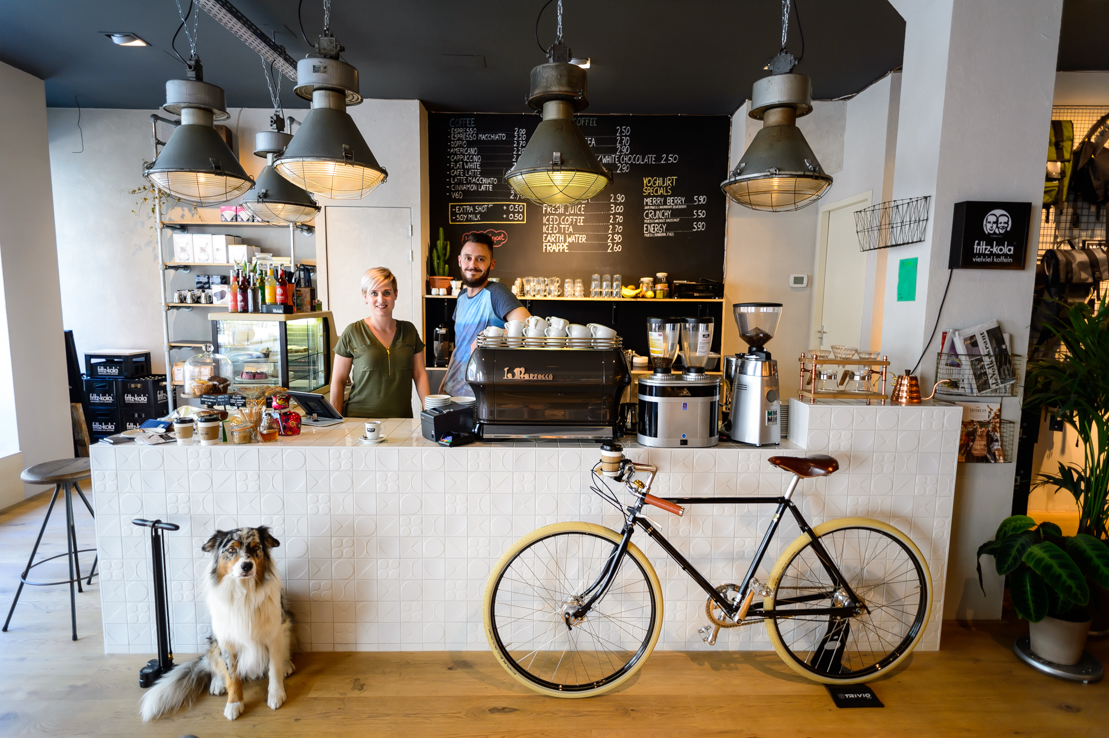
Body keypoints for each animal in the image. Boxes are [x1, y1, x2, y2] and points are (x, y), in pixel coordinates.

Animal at [138, 523, 294, 719]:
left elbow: (274, 668)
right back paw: (218, 683)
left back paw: (287, 665)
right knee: (215, 664)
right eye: (231, 549)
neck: (245, 593)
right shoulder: (226, 639)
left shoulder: (275, 632)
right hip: (213, 638)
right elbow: (232, 676)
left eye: (256, 547)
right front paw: (234, 704)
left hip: (286, 626)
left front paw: (276, 695)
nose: (246, 565)